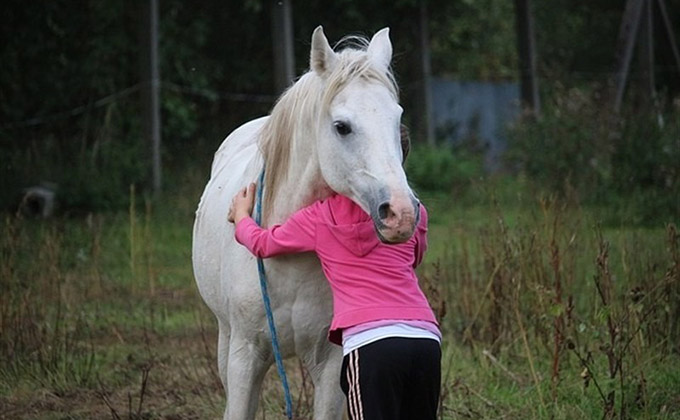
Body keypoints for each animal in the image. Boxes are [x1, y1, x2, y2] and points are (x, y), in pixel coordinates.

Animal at [189, 27, 418, 420]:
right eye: (342, 127)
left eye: (397, 120)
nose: (401, 213)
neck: (290, 255)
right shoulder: (244, 356)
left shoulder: (331, 363)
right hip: (225, 337)